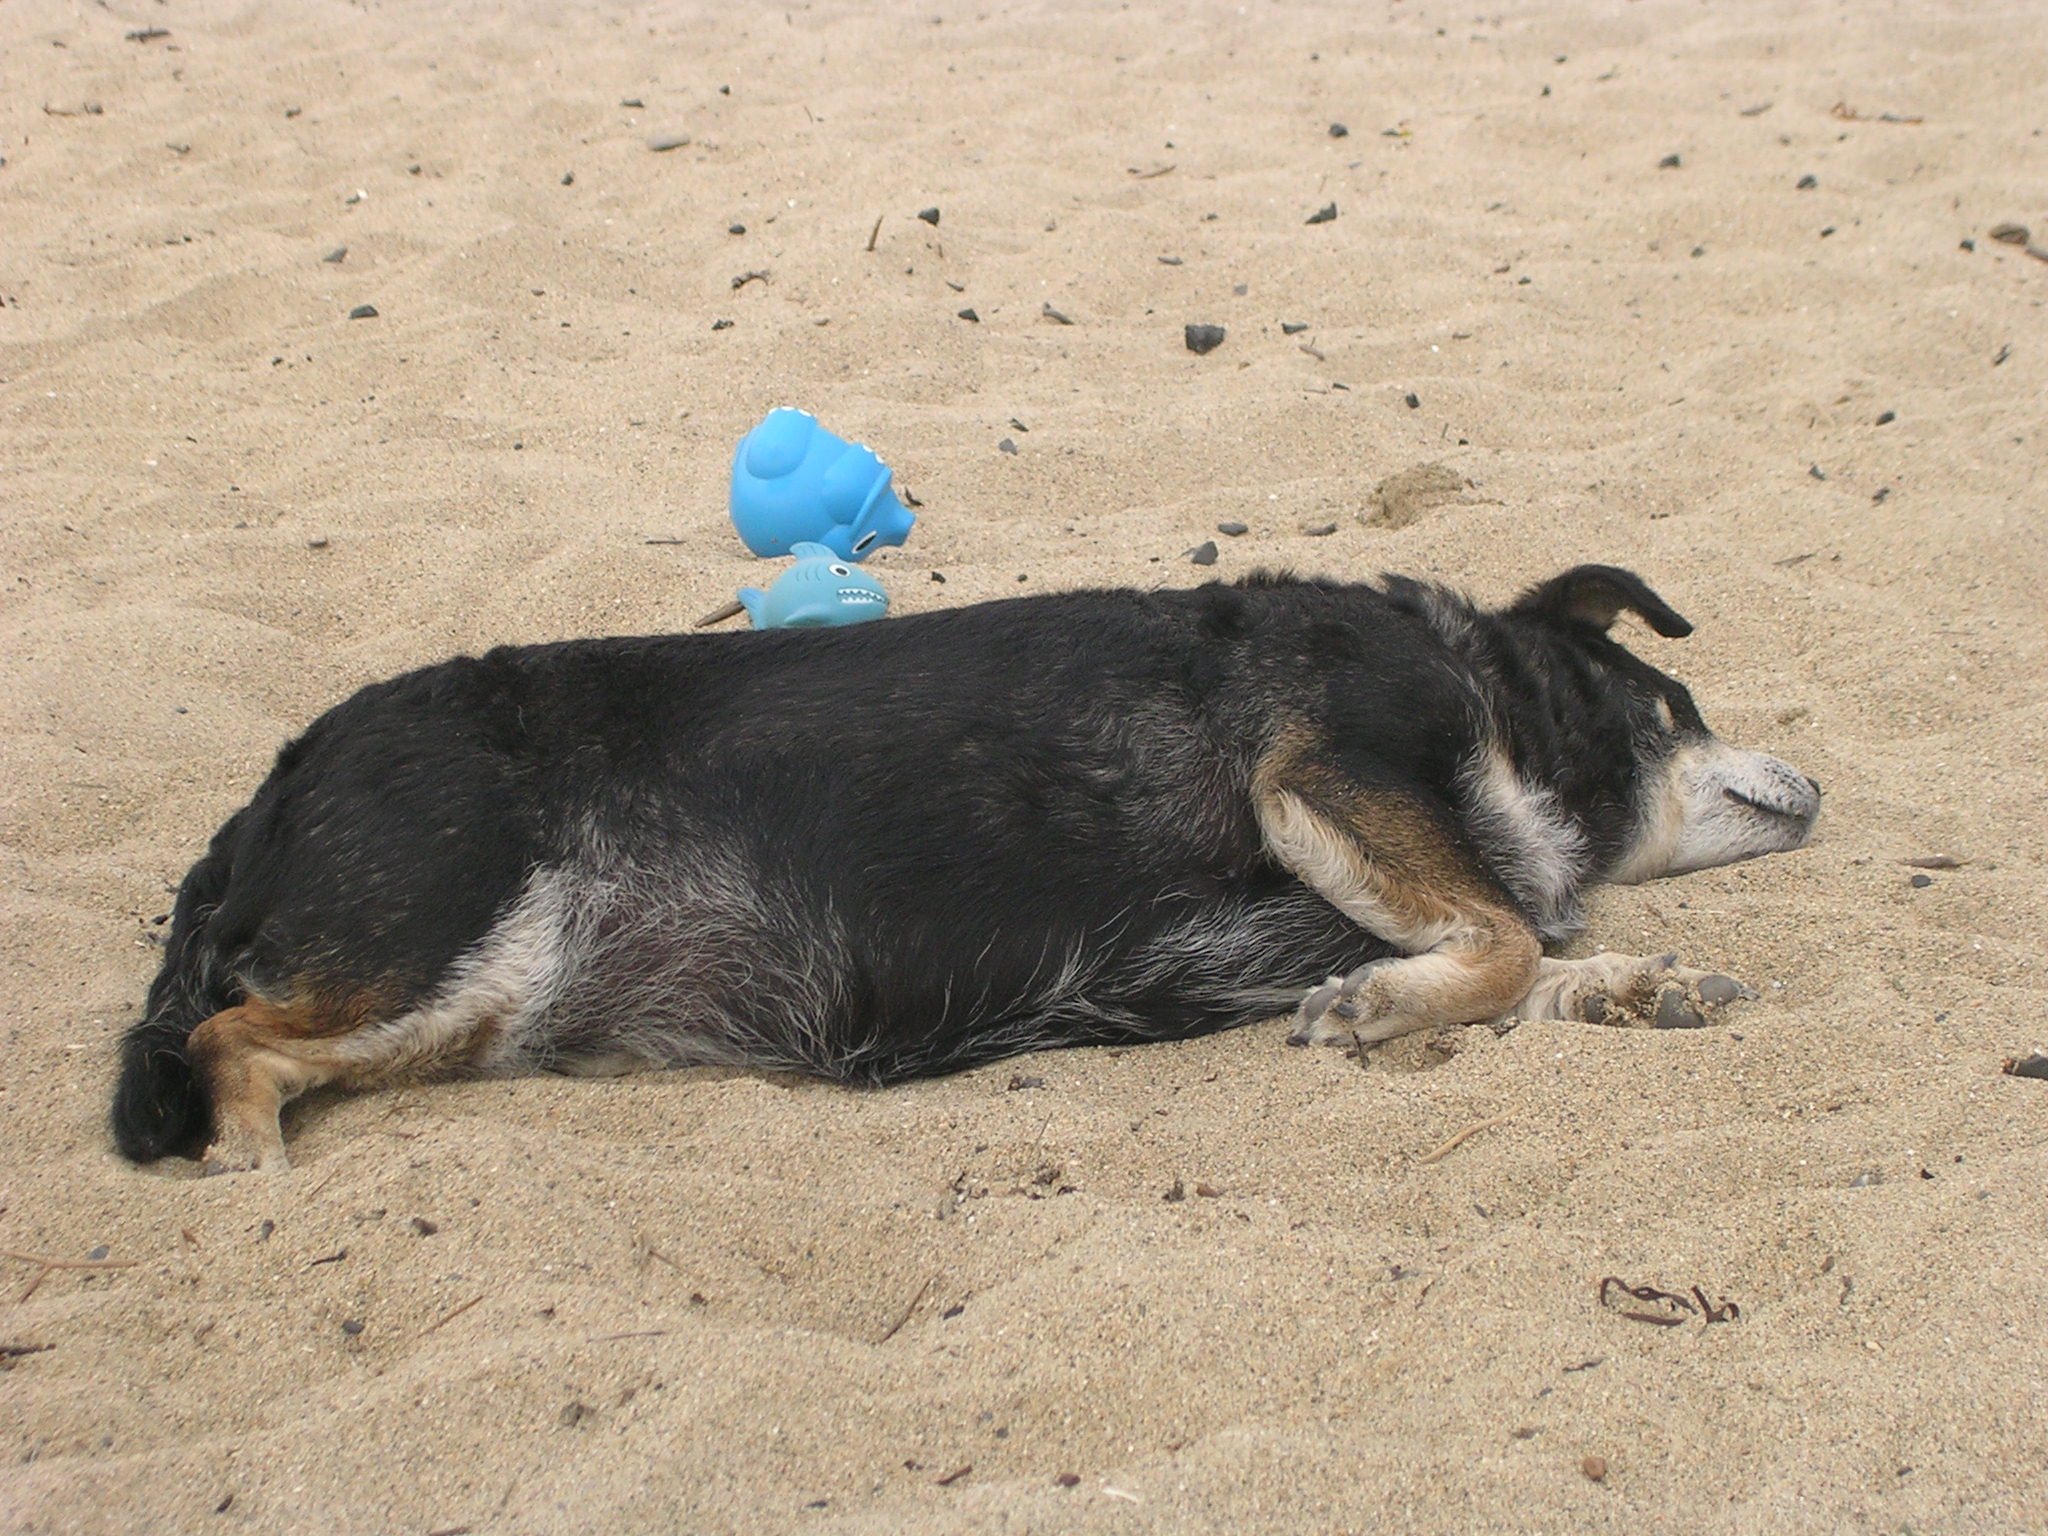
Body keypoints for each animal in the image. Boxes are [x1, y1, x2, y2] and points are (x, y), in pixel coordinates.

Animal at [111, 564, 1819, 1172]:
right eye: (1681, 707)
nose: (1815, 784)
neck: (1490, 697)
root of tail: (279, 779)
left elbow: (1521, 943)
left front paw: (1639, 987)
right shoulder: (1325, 778)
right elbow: (1506, 934)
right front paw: (1409, 1009)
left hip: (473, 1005)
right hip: (446, 930)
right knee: (225, 1043)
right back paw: (250, 1167)